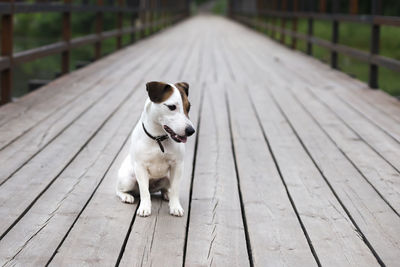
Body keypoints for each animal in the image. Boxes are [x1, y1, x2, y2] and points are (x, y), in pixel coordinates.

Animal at [115, 81, 195, 218]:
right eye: (172, 107)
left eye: (188, 107)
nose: (191, 131)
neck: (159, 139)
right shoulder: (140, 167)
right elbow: (144, 191)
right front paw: (144, 208)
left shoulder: (177, 166)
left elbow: (175, 189)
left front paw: (175, 206)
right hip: (128, 179)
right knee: (120, 190)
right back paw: (126, 196)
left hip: (166, 178)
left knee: (164, 188)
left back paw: (167, 194)